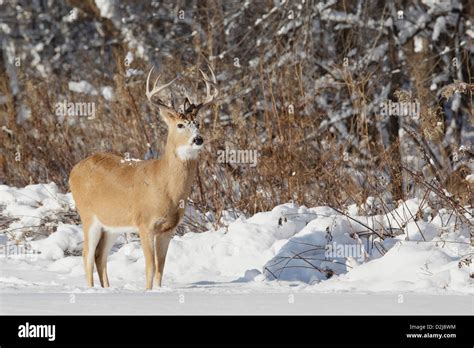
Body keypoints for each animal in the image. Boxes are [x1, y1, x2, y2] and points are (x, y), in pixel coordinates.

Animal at [69, 65, 218, 288]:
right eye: (180, 125)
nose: (198, 139)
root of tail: (73, 171)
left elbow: (161, 268)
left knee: (100, 255)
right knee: (86, 254)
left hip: (111, 224)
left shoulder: (168, 229)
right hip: (88, 215)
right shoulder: (144, 223)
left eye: (198, 123)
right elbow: (151, 267)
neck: (166, 187)